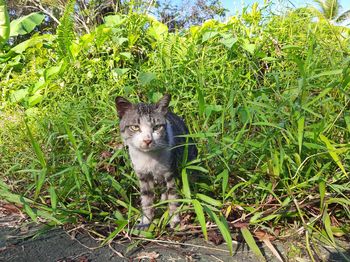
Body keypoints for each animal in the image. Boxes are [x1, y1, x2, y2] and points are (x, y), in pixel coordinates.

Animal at [115, 94, 197, 227]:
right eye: (135, 127)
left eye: (157, 127)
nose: (147, 140)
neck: (149, 157)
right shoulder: (142, 174)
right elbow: (146, 198)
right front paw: (146, 221)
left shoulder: (170, 171)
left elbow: (173, 195)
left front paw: (174, 219)